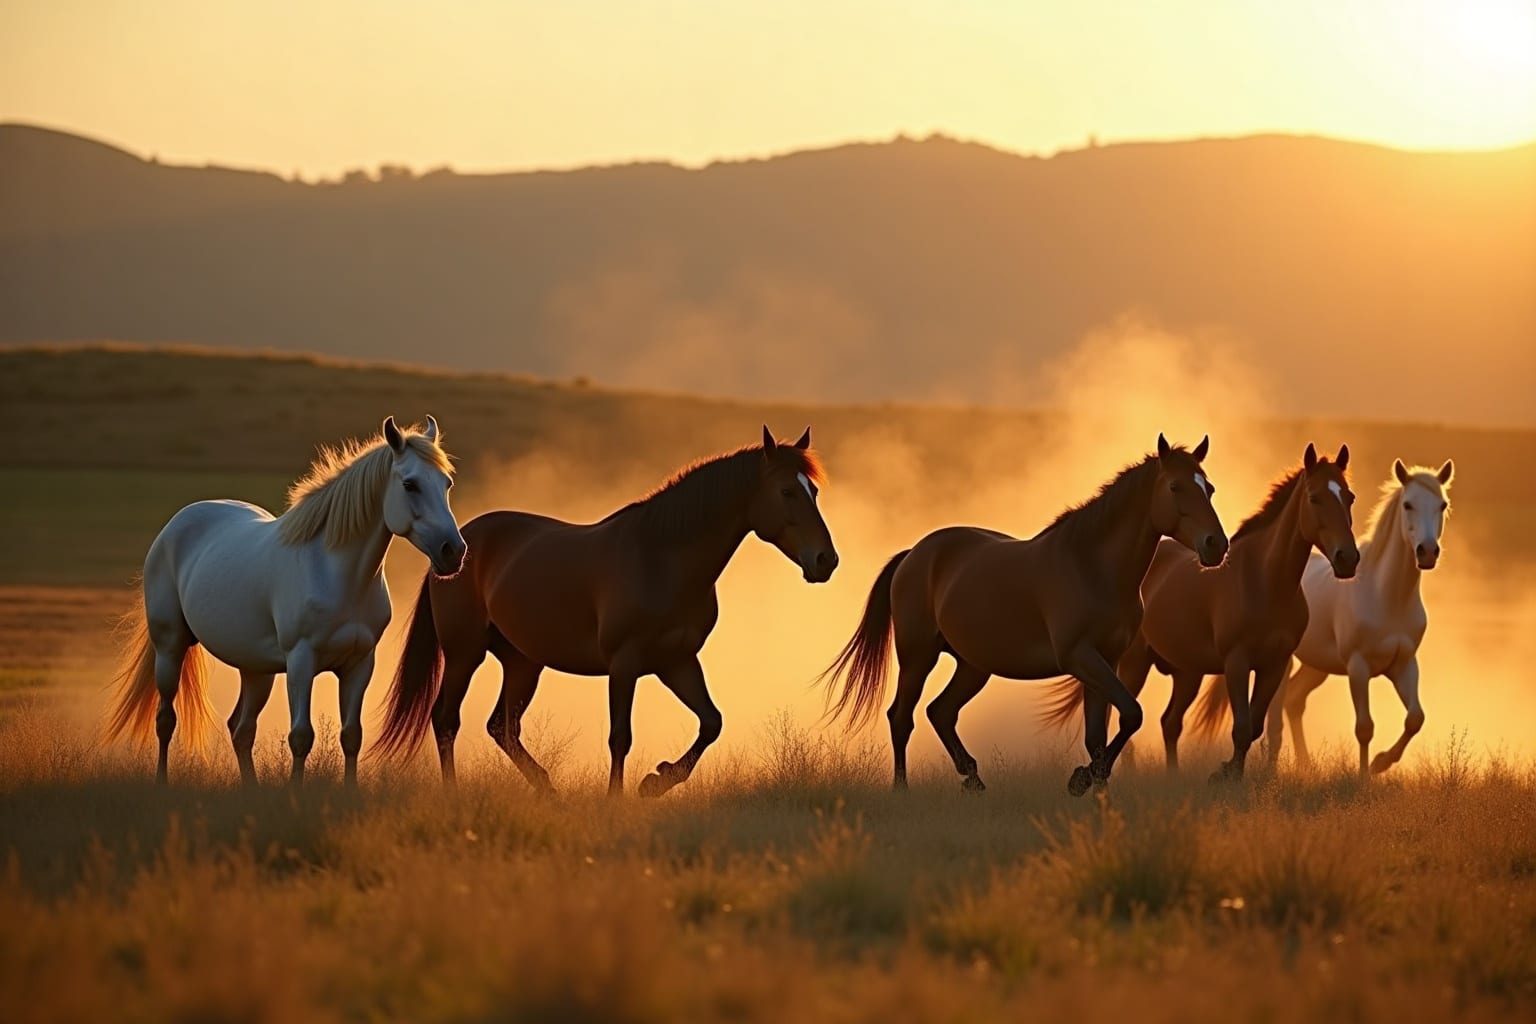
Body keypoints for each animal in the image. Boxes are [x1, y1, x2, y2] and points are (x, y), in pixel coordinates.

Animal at [104, 417, 465, 786]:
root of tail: (177, 524)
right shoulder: (301, 662)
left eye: (446, 483)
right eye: (410, 484)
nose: (453, 551)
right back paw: (162, 782)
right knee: (166, 720)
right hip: (170, 647)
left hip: (255, 668)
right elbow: (301, 736)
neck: (337, 573)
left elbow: (352, 736)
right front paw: (295, 792)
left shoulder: (360, 664)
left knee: (241, 729)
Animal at [374, 427, 838, 797]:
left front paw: (657, 781)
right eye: (787, 491)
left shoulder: (677, 661)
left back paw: (547, 787)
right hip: (464, 654)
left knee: (502, 726)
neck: (661, 559)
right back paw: (454, 793)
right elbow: (620, 737)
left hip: (523, 662)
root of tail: (456, 546)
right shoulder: (624, 663)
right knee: (446, 720)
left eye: (813, 491)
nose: (825, 561)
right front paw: (616, 799)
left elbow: (712, 722)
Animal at [819, 435, 1228, 797]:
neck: (1092, 567)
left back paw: (973, 780)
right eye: (1175, 486)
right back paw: (902, 789)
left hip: (973, 666)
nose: (1216, 545)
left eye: (1209, 488)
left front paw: (1095, 787)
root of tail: (914, 554)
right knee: (902, 717)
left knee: (941, 712)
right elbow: (1131, 715)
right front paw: (1083, 779)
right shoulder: (1080, 657)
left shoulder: (1105, 659)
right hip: (918, 657)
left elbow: (1099, 734)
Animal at [1042, 444, 1359, 782]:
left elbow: (1255, 728)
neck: (1265, 582)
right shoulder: (1237, 662)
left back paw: (1171, 777)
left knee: (1170, 723)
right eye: (1314, 498)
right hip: (1134, 663)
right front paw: (1228, 779)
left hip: (1187, 674)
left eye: (1349, 497)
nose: (1347, 558)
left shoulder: (1275, 665)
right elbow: (1242, 730)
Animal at [1190, 459, 1454, 775]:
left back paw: (1305, 765)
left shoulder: (1404, 665)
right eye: (1408, 504)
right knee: (1277, 716)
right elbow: (1364, 727)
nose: (1427, 552)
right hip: (1285, 662)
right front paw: (1364, 776)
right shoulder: (1358, 666)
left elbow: (1415, 718)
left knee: (1294, 700)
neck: (1387, 596)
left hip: (1317, 666)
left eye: (1442, 504)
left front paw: (1380, 763)